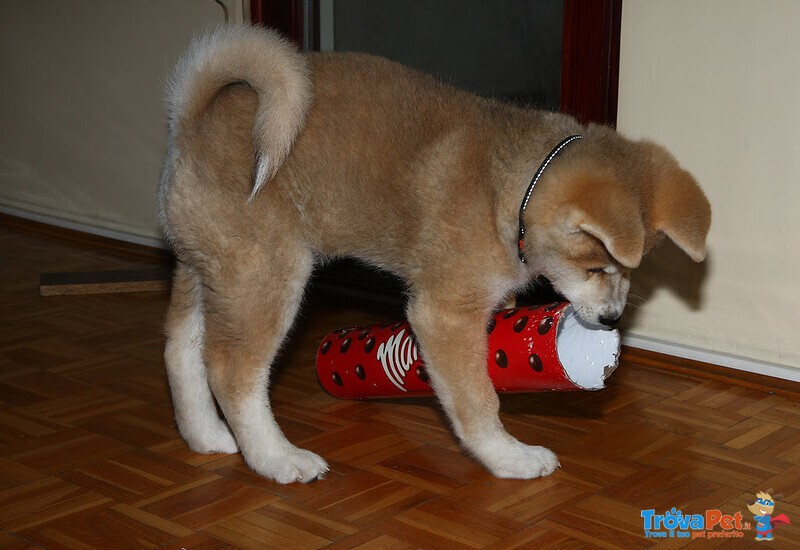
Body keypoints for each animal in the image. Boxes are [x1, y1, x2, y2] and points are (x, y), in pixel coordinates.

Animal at [159, 25, 708, 486]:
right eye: (595, 266)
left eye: (628, 272)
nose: (614, 318)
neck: (510, 192)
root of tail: (194, 119)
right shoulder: (445, 315)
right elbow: (476, 400)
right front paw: (507, 456)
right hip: (266, 274)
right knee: (231, 370)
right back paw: (276, 458)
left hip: (210, 270)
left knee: (181, 349)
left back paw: (205, 435)